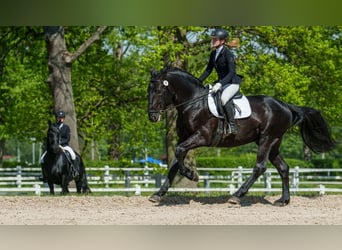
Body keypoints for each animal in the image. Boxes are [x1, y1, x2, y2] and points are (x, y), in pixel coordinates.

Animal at [147, 66, 334, 205]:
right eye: (149, 89)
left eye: (158, 90)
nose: (152, 117)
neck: (194, 103)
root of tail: (286, 106)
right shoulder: (184, 138)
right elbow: (174, 162)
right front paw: (159, 193)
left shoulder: (201, 137)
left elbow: (179, 153)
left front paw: (192, 174)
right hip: (273, 142)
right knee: (283, 167)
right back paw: (283, 200)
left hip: (267, 139)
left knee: (260, 167)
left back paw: (237, 195)